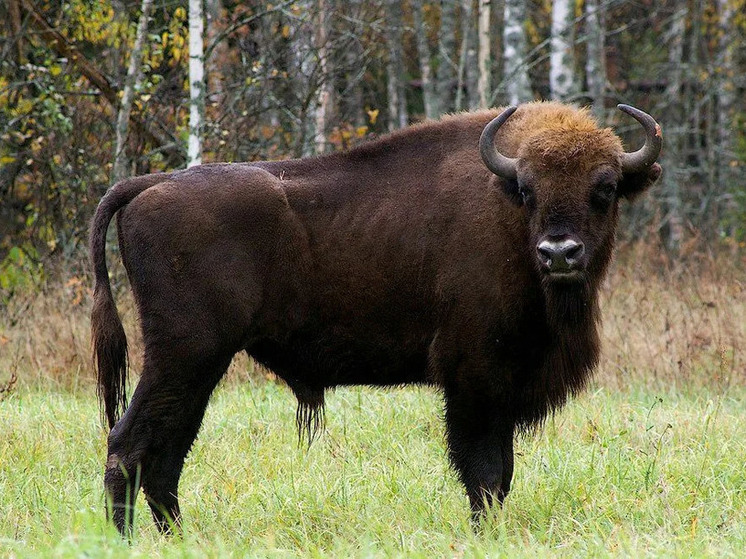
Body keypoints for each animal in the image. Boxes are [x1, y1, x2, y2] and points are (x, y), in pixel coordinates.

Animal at [90, 103, 660, 536]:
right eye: (527, 190)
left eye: (605, 188)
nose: (559, 253)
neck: (509, 219)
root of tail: (152, 184)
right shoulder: (474, 378)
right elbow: (484, 471)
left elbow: (501, 474)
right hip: (184, 355)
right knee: (128, 446)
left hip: (198, 367)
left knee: (165, 456)